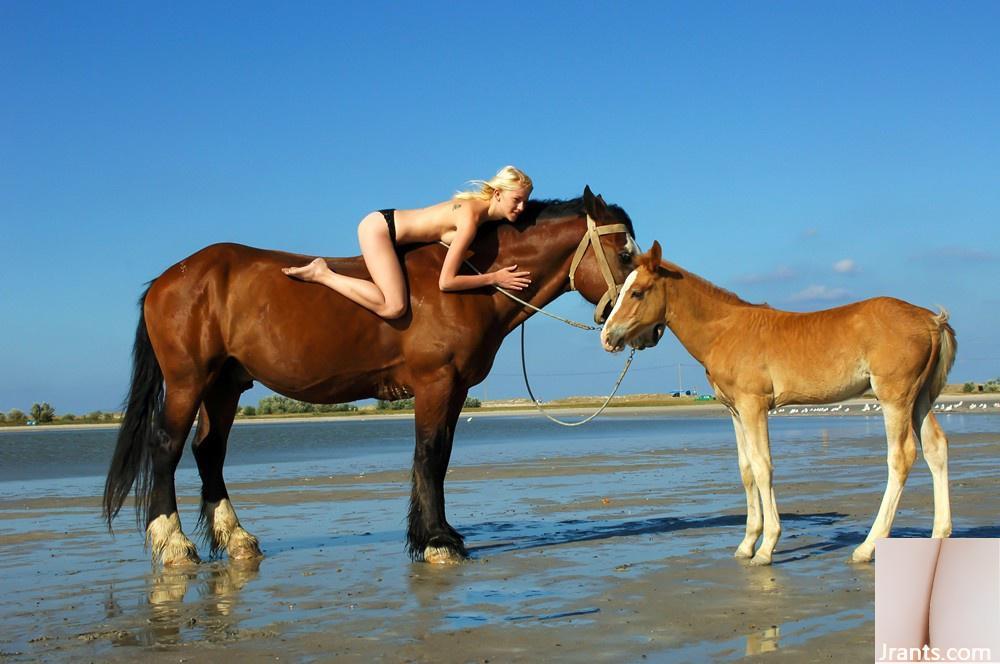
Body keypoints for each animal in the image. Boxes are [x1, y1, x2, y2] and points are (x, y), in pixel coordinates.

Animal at [105, 185, 636, 564]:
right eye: (626, 254)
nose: (635, 329)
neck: (464, 283)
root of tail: (170, 277)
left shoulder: (455, 388)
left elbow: (440, 458)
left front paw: (437, 533)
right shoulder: (436, 383)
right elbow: (430, 454)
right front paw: (437, 541)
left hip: (225, 385)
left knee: (209, 451)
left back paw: (236, 538)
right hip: (189, 381)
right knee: (167, 448)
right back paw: (174, 544)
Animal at [596, 243, 956, 564]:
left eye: (637, 292)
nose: (607, 337)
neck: (725, 330)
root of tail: (931, 320)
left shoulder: (753, 405)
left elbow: (762, 466)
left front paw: (766, 547)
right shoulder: (735, 411)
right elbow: (746, 469)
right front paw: (746, 544)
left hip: (895, 397)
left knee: (901, 457)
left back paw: (867, 547)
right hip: (920, 398)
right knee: (935, 447)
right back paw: (939, 535)